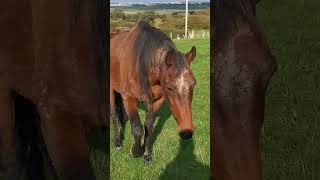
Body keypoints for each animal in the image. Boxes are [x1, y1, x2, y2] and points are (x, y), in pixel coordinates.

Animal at [110, 20, 198, 163]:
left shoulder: (157, 100)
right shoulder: (128, 98)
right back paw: (117, 143)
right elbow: (137, 128)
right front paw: (136, 151)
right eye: (169, 87)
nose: (187, 132)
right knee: (113, 114)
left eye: (194, 84)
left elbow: (149, 127)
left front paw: (147, 155)